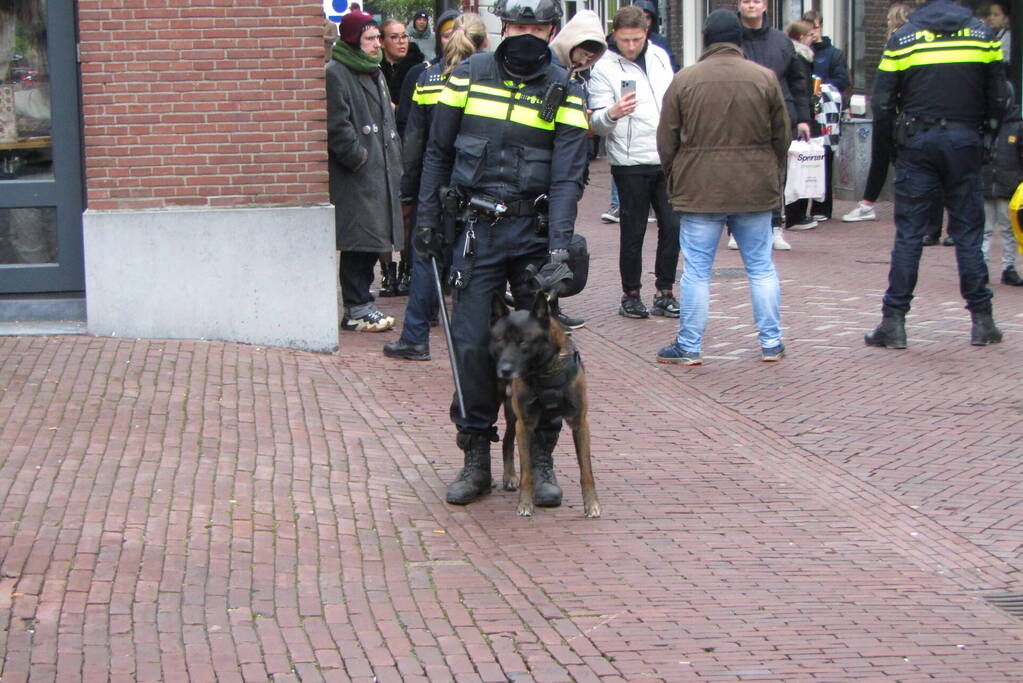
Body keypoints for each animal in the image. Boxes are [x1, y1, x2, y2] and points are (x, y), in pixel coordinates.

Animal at [488, 294, 597, 517]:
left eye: (523, 342)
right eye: (500, 341)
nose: (504, 370)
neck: (545, 370)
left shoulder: (580, 423)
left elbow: (586, 471)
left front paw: (591, 504)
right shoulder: (526, 423)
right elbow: (526, 473)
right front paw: (525, 504)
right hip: (505, 407)